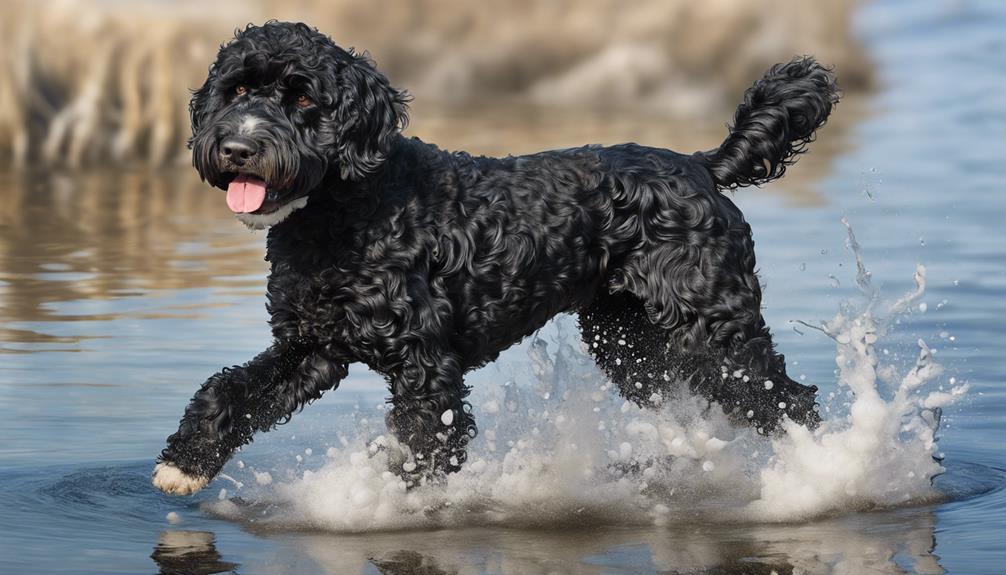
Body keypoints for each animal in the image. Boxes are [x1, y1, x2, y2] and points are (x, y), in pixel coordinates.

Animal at [152, 20, 836, 492]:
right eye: (237, 88)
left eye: (301, 98)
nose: (237, 147)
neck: (347, 209)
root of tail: (701, 166)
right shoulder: (311, 349)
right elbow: (225, 389)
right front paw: (184, 463)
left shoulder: (426, 368)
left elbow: (426, 446)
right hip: (631, 340)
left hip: (717, 332)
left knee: (789, 400)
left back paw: (821, 475)